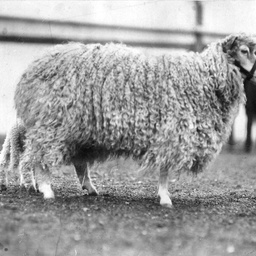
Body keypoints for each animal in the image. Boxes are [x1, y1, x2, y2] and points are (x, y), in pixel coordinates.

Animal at [0, 33, 256, 208]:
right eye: (244, 50)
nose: (254, 74)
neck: (205, 77)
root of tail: (34, 66)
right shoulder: (172, 132)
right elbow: (165, 170)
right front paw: (165, 198)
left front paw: (163, 195)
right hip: (53, 125)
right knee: (39, 158)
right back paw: (46, 189)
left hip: (77, 131)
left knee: (76, 162)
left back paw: (89, 188)